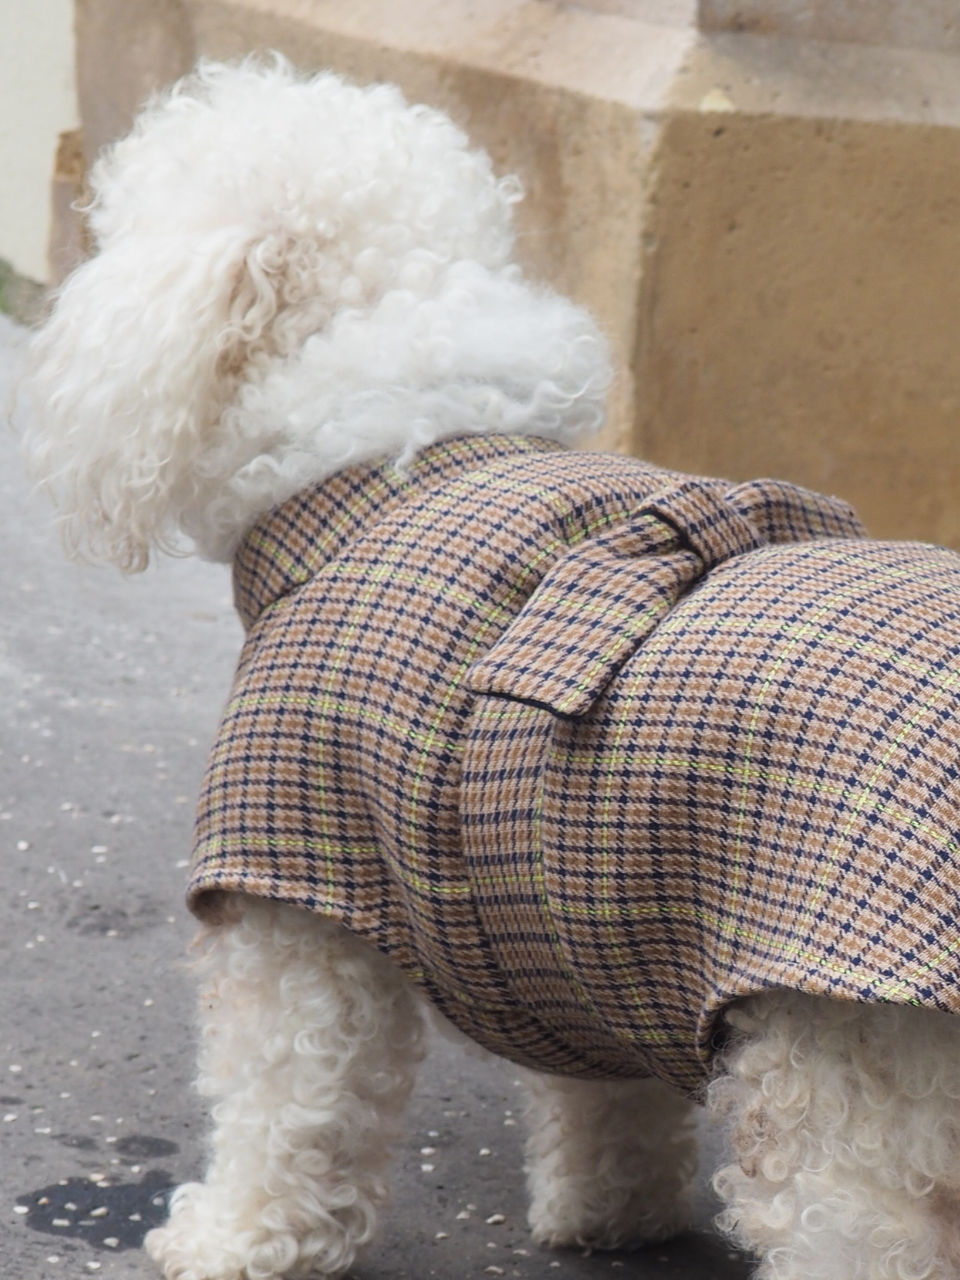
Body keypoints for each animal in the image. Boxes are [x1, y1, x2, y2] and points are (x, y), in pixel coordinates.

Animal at [24, 57, 960, 1280]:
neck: (394, 442)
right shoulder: (583, 911)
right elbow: (606, 1091)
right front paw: (613, 1210)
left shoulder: (294, 888)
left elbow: (287, 1106)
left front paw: (240, 1235)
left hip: (853, 1098)